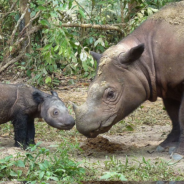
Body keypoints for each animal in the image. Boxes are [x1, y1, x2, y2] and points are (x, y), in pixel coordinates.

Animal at [73, 1, 184, 160]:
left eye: (111, 94)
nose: (83, 128)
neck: (143, 62)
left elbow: (181, 116)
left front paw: (178, 154)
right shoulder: (167, 84)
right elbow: (174, 115)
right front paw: (165, 146)